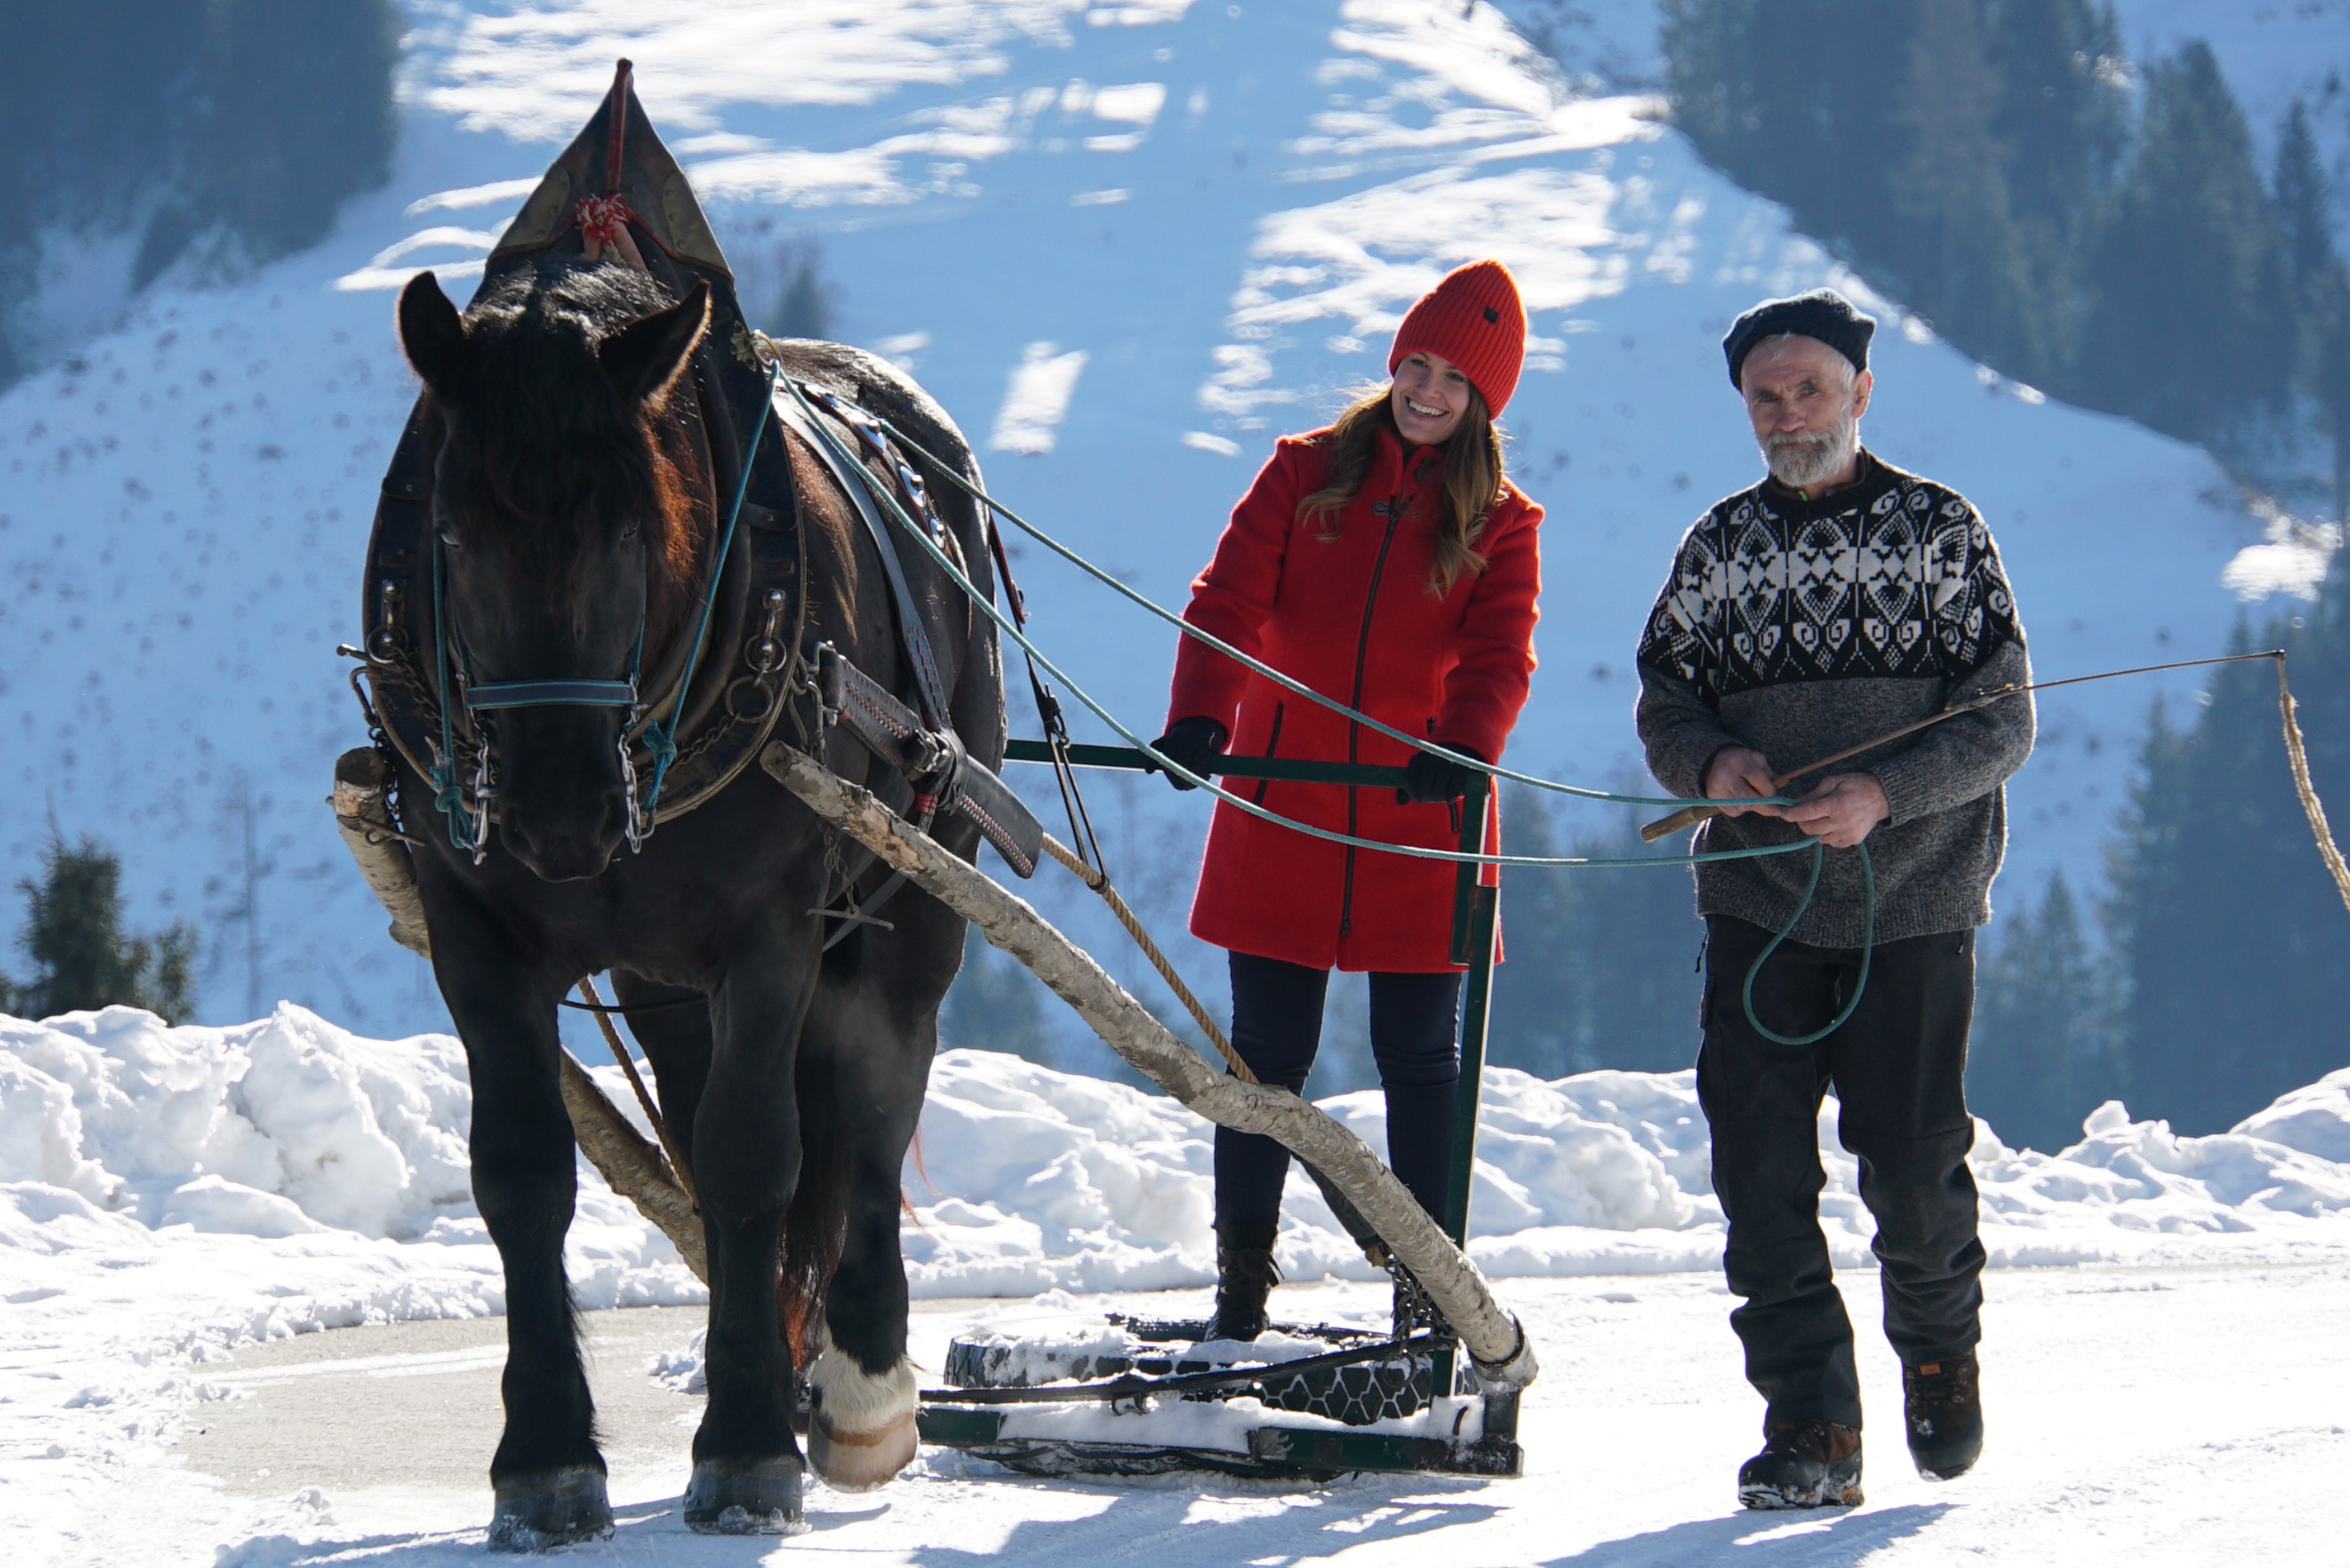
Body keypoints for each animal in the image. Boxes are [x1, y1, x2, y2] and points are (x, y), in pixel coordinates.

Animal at [383, 261, 1001, 1542]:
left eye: (629, 526)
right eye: (452, 532)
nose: (558, 803)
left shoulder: (772, 921)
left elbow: (756, 1155)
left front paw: (751, 1443)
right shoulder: (470, 923)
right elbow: (521, 1170)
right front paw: (545, 1459)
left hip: (928, 870)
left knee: (879, 1086)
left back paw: (859, 1390)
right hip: (658, 971)